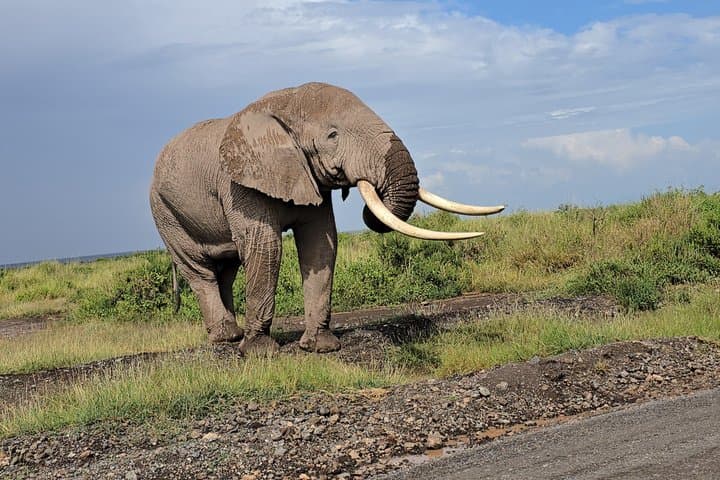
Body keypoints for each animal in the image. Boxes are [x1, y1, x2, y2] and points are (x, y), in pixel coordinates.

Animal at [150, 82, 504, 354]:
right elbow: (266, 248)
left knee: (226, 269)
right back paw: (226, 338)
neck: (282, 102)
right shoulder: (239, 184)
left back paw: (231, 333)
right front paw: (260, 353)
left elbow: (321, 244)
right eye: (332, 135)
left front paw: (321, 348)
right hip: (164, 212)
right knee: (200, 270)